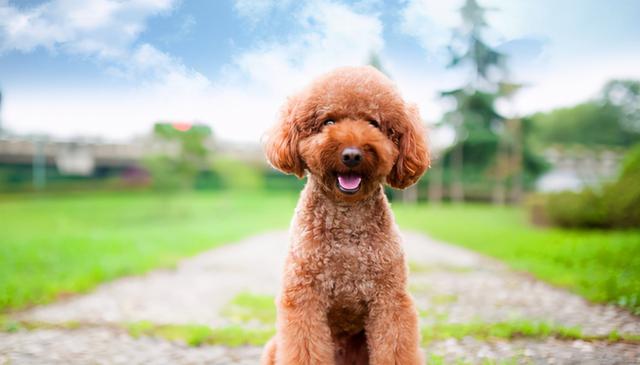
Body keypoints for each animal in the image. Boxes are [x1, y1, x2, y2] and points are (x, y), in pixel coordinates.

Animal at [260, 66, 430, 364]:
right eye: (328, 121)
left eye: (374, 123)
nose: (352, 155)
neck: (346, 221)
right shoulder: (304, 298)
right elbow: (305, 349)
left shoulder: (390, 299)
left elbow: (395, 348)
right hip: (273, 347)